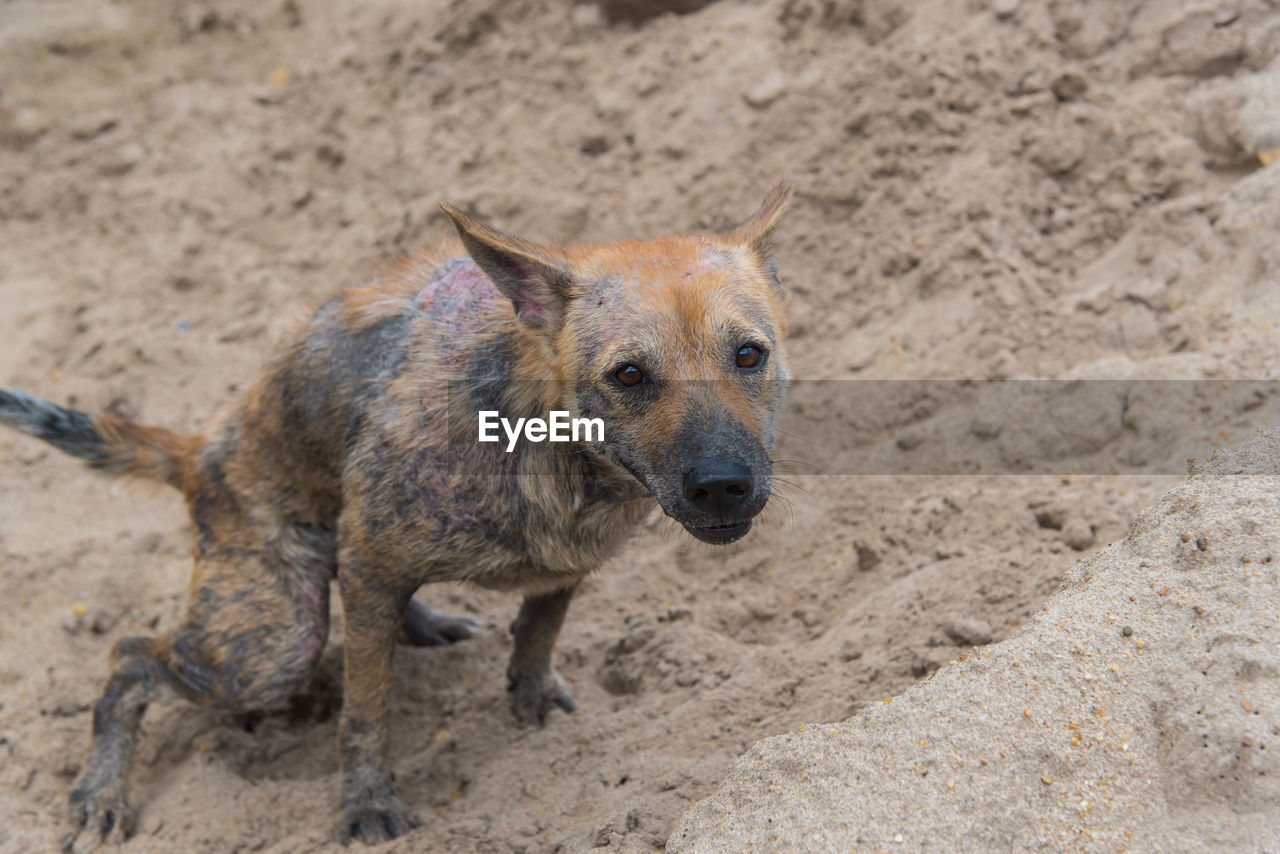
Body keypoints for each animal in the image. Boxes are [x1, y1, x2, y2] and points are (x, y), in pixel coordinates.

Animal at [2, 181, 788, 850]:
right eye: (629, 375)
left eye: (749, 355)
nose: (723, 486)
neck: (550, 451)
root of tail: (202, 449)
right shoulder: (373, 571)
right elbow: (365, 711)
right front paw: (366, 804)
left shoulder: (565, 564)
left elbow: (540, 627)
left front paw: (531, 696)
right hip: (271, 647)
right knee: (131, 657)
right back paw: (102, 792)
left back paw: (425, 621)